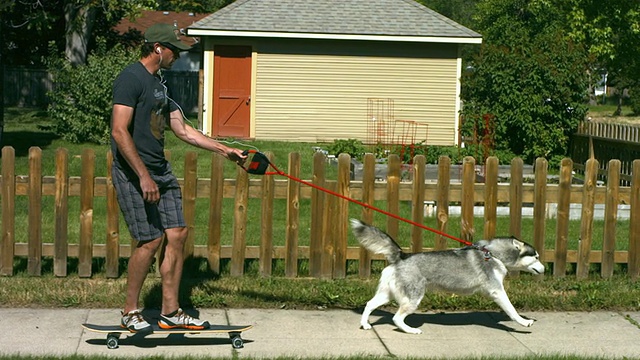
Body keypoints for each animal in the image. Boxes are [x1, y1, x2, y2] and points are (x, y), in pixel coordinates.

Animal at [350, 219, 544, 334]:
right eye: (536, 257)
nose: (543, 269)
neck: (493, 254)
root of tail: (402, 256)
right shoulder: (497, 291)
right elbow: (511, 310)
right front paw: (524, 322)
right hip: (413, 297)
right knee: (396, 318)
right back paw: (411, 330)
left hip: (387, 294)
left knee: (369, 304)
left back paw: (365, 324)